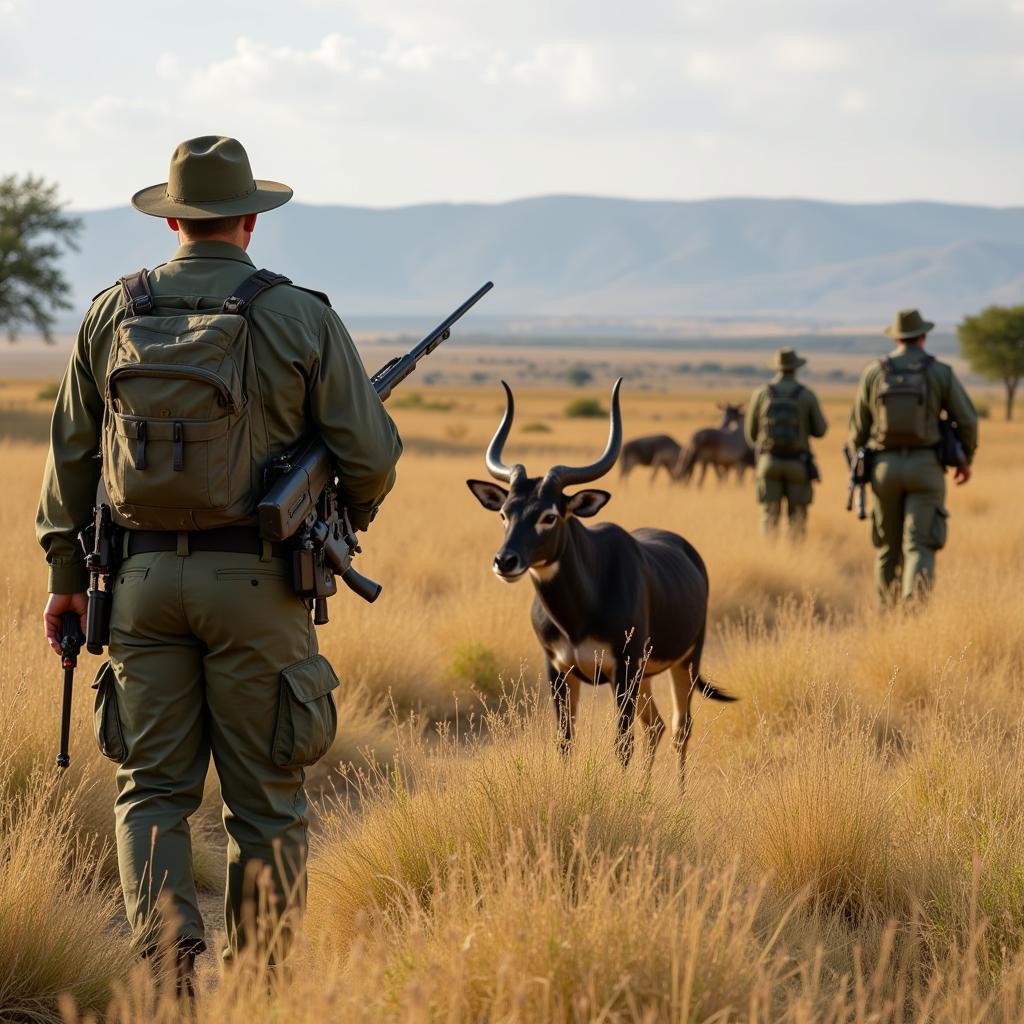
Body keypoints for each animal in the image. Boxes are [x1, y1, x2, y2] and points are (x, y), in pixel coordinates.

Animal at [468, 380, 733, 778]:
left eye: (549, 515)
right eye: (504, 513)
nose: (505, 561)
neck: (579, 614)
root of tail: (687, 551)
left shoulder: (622, 669)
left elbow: (622, 745)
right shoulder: (560, 670)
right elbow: (565, 741)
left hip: (683, 662)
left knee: (679, 729)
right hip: (646, 676)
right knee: (655, 726)